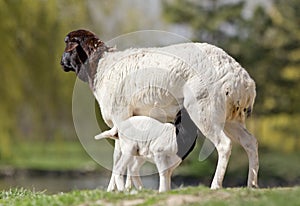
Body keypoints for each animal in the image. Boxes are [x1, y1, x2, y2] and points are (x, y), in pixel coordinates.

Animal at [60, 29, 258, 190]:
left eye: (67, 43)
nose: (62, 63)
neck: (100, 68)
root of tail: (242, 79)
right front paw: (128, 188)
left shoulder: (120, 116)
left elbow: (117, 155)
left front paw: (115, 189)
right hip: (231, 117)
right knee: (250, 142)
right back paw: (252, 184)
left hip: (204, 109)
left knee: (224, 144)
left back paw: (215, 185)